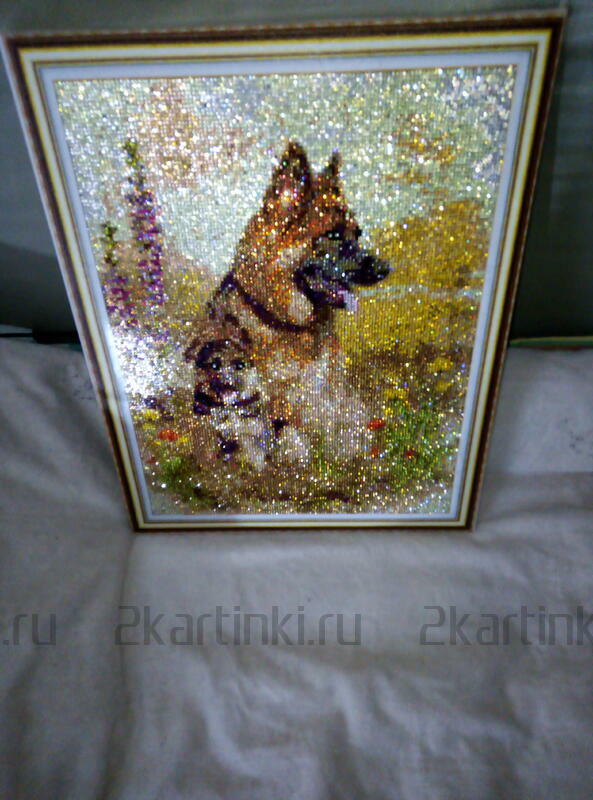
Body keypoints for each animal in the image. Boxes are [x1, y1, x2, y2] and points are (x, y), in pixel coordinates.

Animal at [187, 141, 390, 462]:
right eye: (332, 235)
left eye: (357, 234)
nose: (386, 269)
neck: (288, 323)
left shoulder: (332, 399)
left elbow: (349, 431)